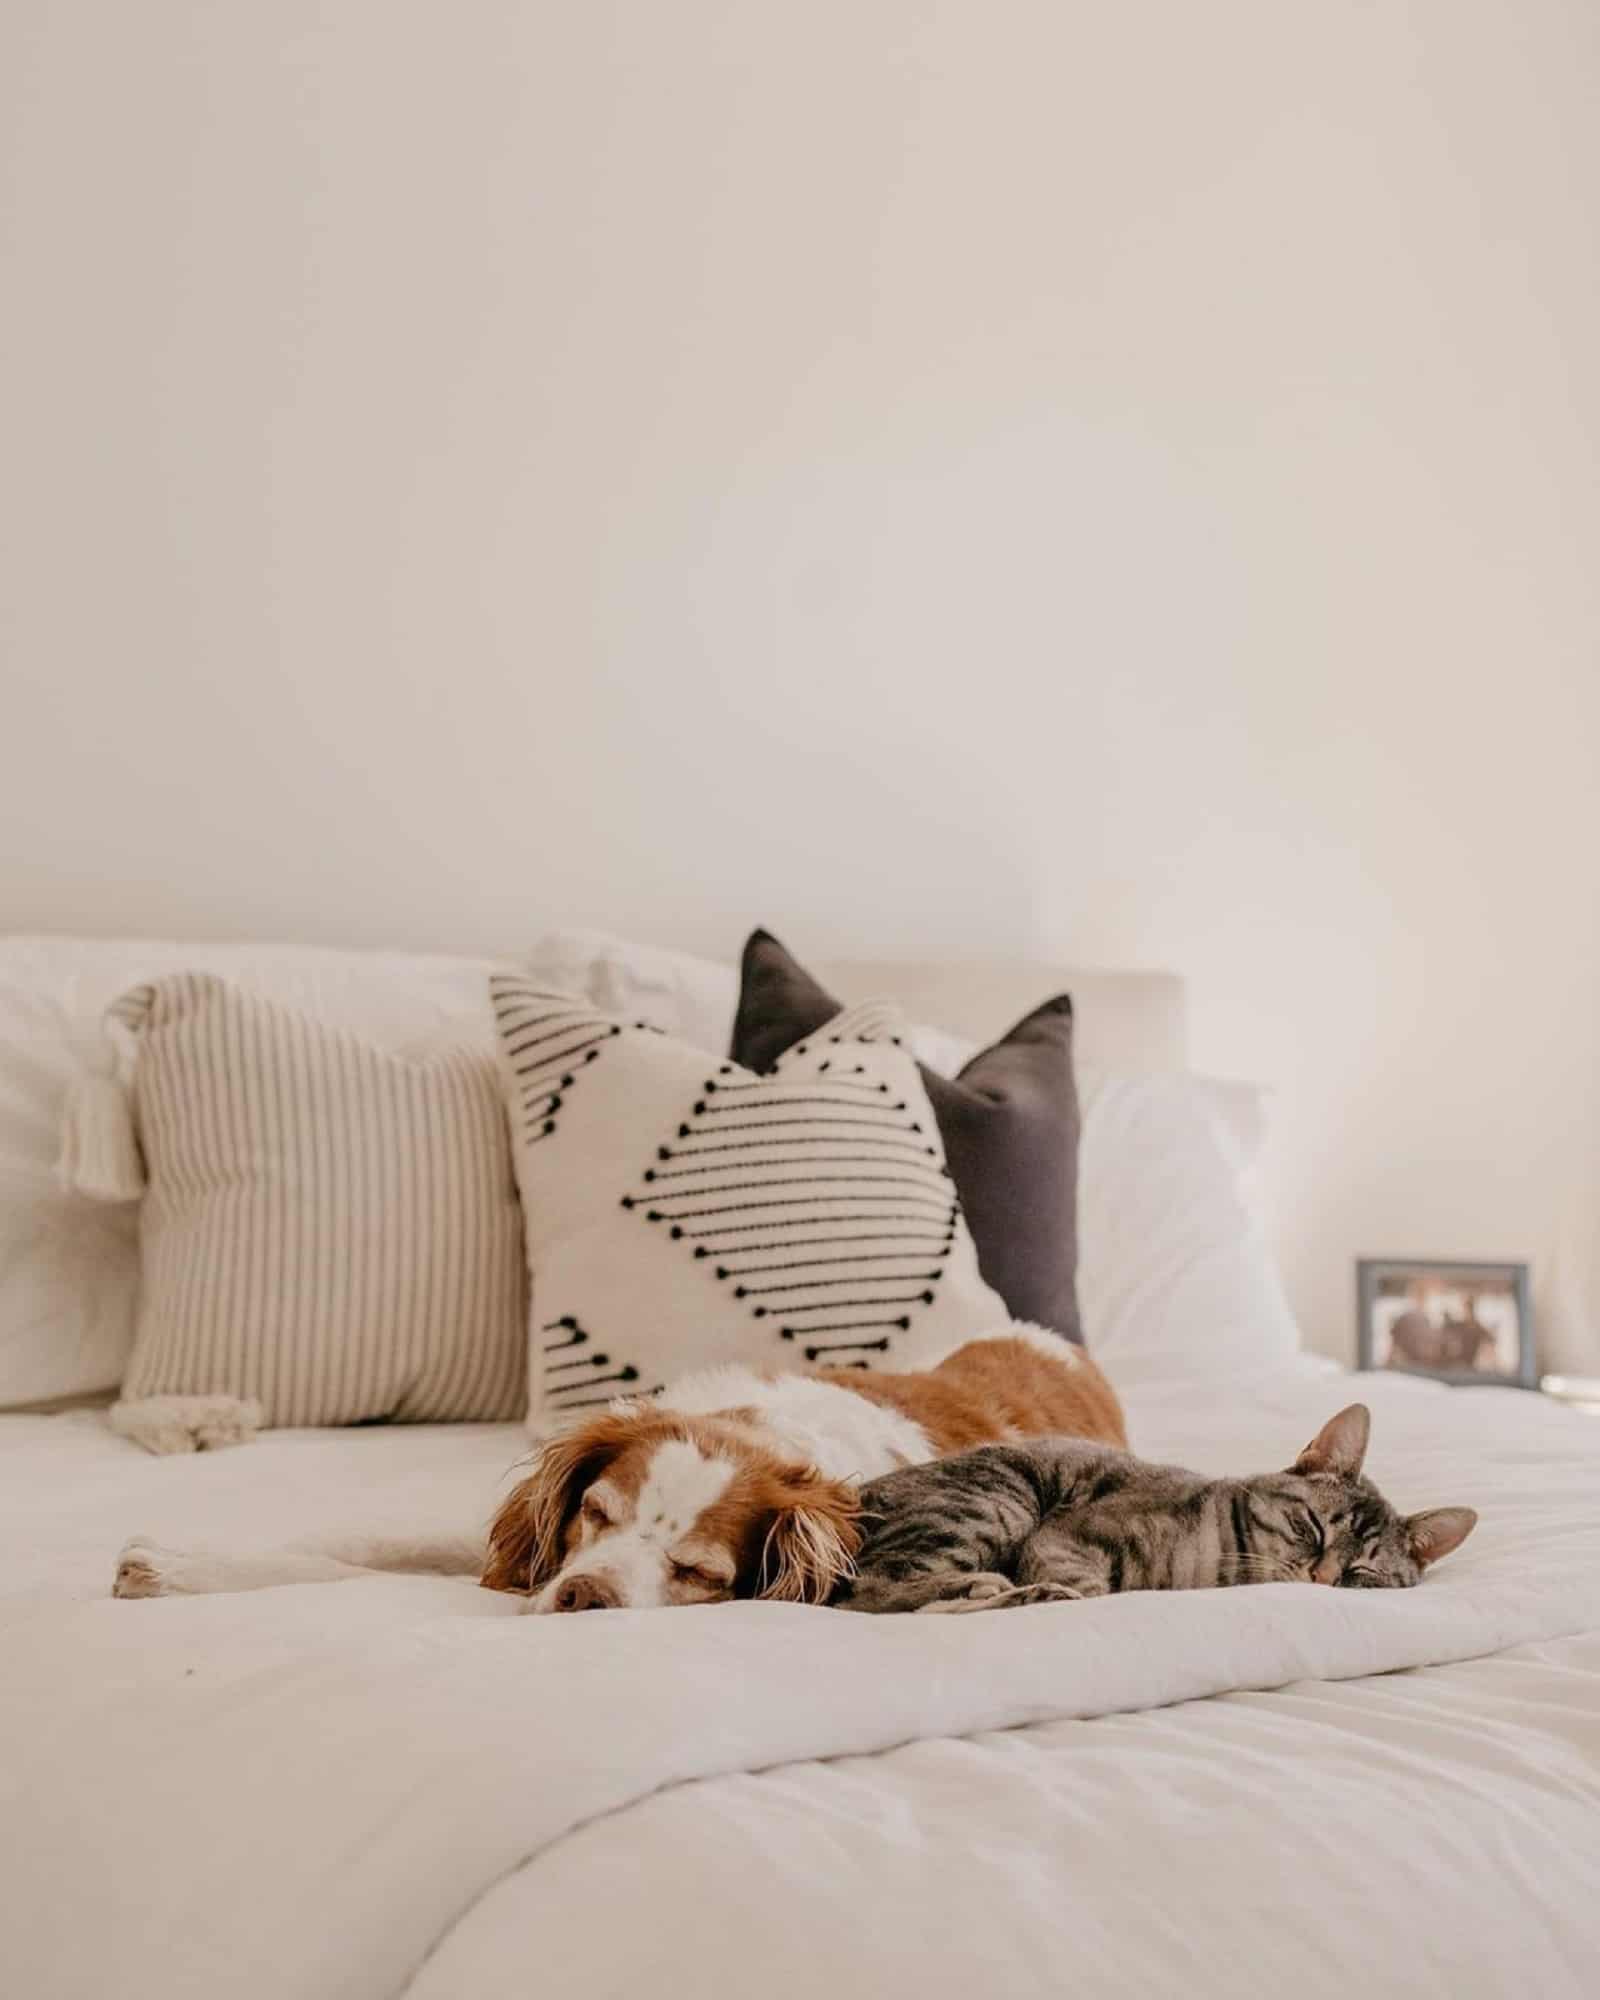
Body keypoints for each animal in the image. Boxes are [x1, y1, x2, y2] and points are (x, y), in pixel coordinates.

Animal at [832, 1400, 1480, 1616]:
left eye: (1361, 1570)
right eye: (1311, 1527)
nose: (1322, 1578)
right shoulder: (1063, 1536)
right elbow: (1090, 1582)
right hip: (997, 1498)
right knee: (869, 1590)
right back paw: (1004, 1591)